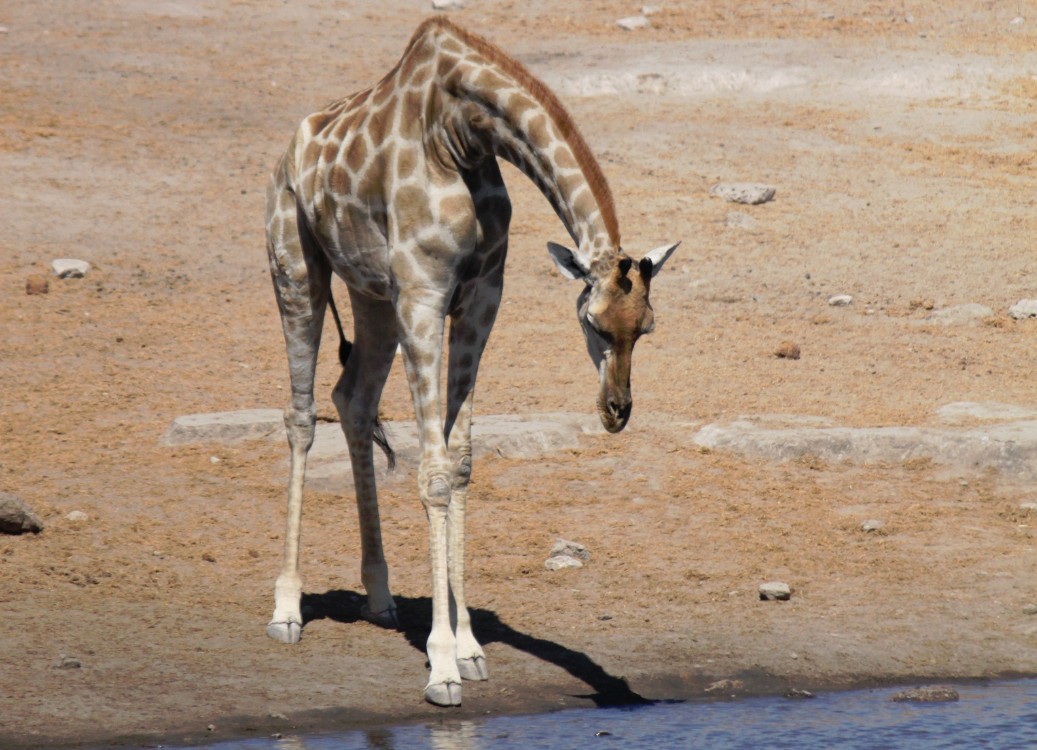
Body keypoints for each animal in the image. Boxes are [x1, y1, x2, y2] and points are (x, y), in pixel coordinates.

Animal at [263, 19, 676, 709]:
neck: (460, 134)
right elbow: (431, 472)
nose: (616, 412)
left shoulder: (481, 297)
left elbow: (458, 463)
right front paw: (441, 667)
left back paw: (379, 596)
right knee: (300, 415)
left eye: (645, 328)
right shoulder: (424, 292)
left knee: (352, 399)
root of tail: (286, 155)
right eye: (594, 324)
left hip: (372, 295)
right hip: (297, 269)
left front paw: (469, 645)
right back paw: (288, 609)